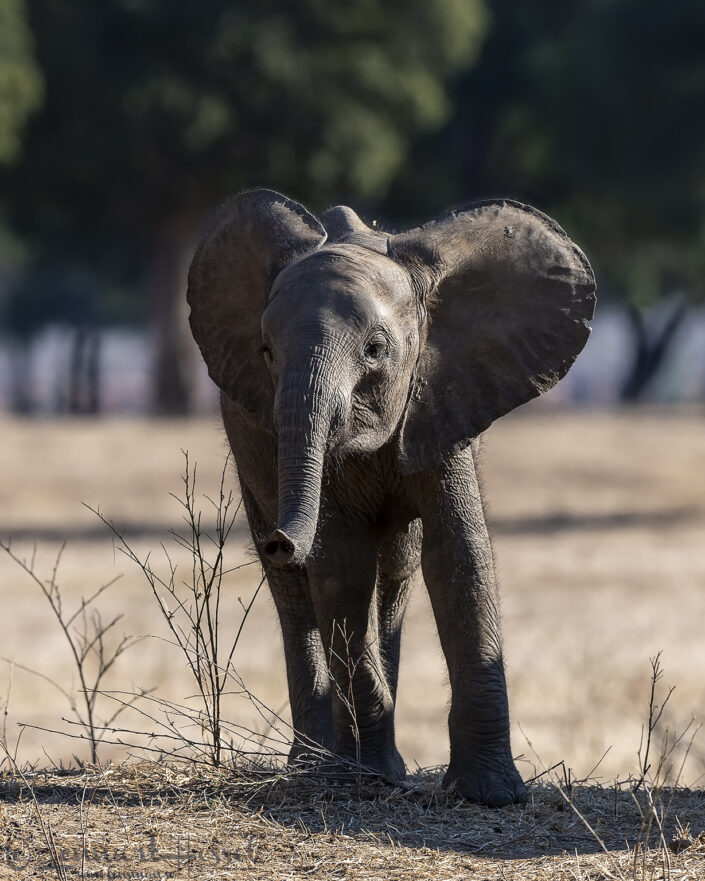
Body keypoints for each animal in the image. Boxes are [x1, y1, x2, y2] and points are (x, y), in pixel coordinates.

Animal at [186, 188, 595, 806]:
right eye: (265, 352)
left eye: (376, 350)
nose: (283, 539)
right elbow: (339, 564)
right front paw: (367, 778)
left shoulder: (440, 400)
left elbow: (457, 556)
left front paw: (490, 794)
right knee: (297, 596)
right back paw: (321, 769)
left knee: (398, 570)